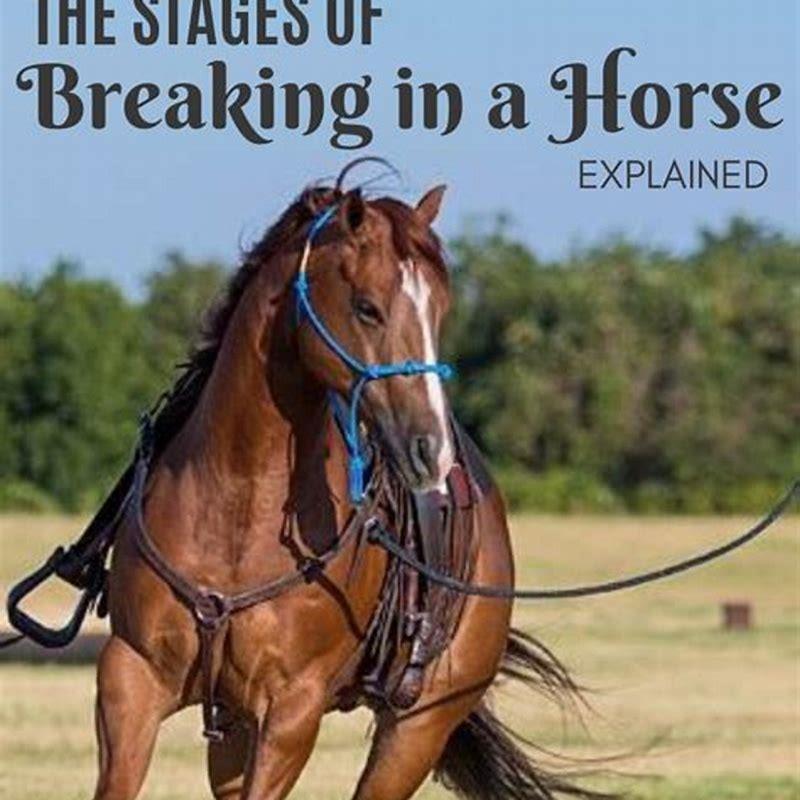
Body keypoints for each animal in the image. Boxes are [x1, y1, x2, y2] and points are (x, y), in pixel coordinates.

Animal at [90, 162, 598, 800]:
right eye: (367, 308)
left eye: (440, 312)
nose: (430, 449)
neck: (236, 508)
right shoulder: (130, 679)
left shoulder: (291, 712)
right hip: (230, 730)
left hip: (416, 730)